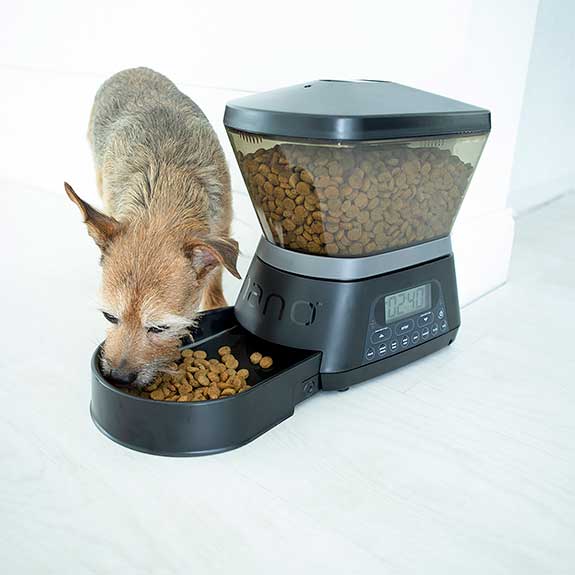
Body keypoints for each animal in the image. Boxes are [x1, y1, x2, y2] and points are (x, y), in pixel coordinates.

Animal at [66, 70, 240, 390]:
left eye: (160, 327)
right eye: (109, 317)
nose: (119, 377)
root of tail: (130, 70)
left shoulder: (222, 228)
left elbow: (215, 278)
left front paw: (215, 302)